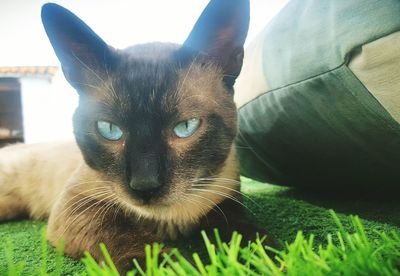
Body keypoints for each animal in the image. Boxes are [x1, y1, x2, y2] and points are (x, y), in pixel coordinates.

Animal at [0, 0, 268, 272]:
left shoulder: (225, 201)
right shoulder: (79, 205)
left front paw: (266, 259)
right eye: (110, 130)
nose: (145, 185)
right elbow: (137, 246)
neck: (167, 220)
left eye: (185, 127)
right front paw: (177, 268)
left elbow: (246, 237)